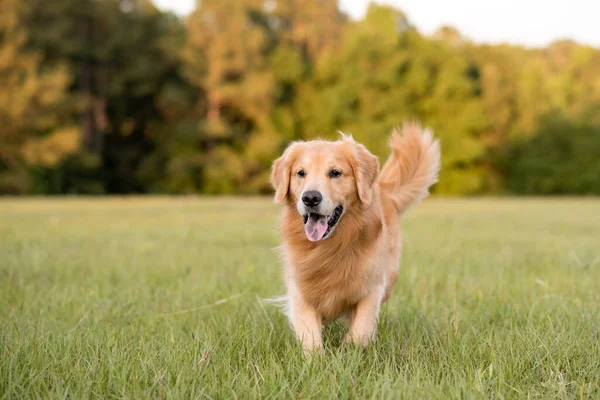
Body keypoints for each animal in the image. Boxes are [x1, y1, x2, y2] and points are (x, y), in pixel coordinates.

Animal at [270, 122, 438, 354]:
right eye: (300, 173)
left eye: (335, 173)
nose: (310, 198)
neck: (330, 247)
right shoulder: (300, 291)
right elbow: (310, 335)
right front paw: (316, 358)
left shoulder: (372, 286)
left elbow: (361, 330)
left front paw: (350, 349)